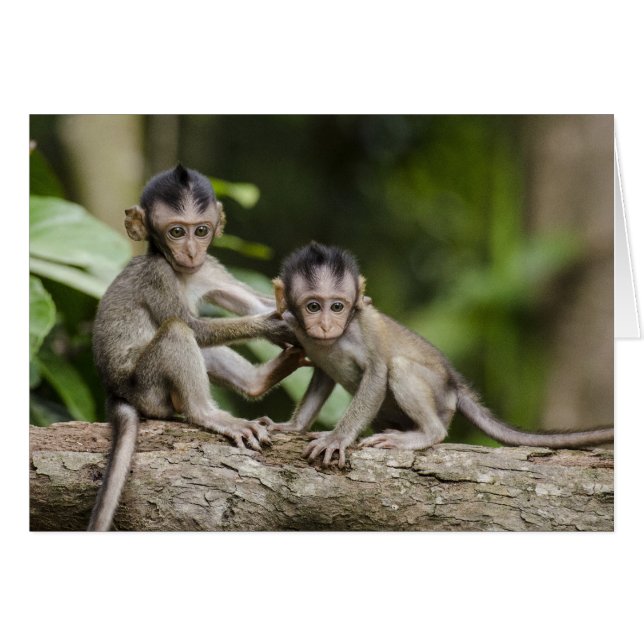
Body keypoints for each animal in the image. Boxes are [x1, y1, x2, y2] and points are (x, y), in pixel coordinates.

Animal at [88, 164, 305, 531]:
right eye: (176, 232)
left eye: (201, 231)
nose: (191, 251)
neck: (181, 272)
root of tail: (115, 390)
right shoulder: (158, 275)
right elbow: (192, 326)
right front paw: (274, 325)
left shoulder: (209, 267)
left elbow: (251, 302)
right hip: (147, 389)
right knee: (178, 331)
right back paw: (207, 413)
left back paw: (259, 380)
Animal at [269, 242, 614, 468]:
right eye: (314, 306)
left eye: (337, 306)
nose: (327, 324)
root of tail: (454, 386)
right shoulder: (297, 328)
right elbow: (322, 376)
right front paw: (293, 427)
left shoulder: (363, 325)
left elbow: (378, 373)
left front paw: (337, 438)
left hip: (439, 397)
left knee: (400, 368)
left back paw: (424, 434)